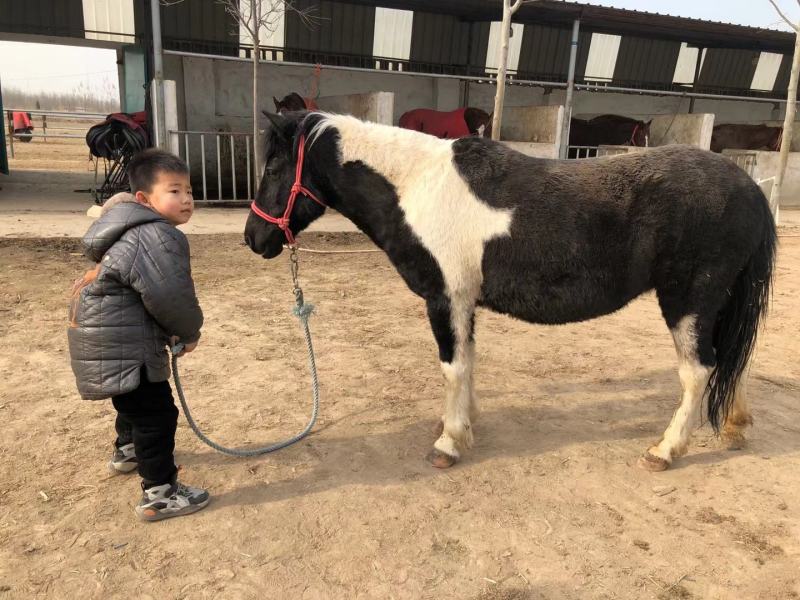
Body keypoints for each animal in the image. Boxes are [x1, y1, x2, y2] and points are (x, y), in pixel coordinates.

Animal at [245, 110, 776, 473]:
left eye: (273, 168)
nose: (254, 238)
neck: (417, 186)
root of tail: (750, 187)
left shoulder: (445, 299)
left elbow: (453, 367)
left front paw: (449, 443)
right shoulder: (464, 302)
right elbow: (468, 363)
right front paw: (461, 423)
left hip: (689, 301)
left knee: (699, 370)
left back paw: (665, 450)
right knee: (733, 359)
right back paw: (735, 426)